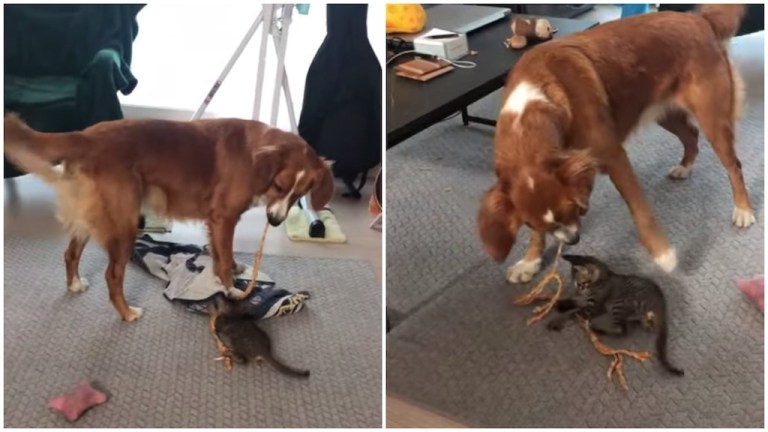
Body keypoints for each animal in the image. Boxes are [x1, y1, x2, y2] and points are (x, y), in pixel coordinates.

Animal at [3, 115, 332, 320]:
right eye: (279, 186)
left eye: (301, 192)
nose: (275, 221)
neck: (255, 152)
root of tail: (86, 136)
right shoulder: (224, 218)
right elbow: (224, 257)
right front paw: (230, 289)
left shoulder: (217, 222)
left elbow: (220, 254)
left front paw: (228, 271)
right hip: (125, 223)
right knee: (112, 275)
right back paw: (126, 313)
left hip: (90, 217)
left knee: (70, 253)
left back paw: (74, 285)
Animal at [476, 5, 752, 284]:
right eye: (535, 225)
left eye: (571, 209)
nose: (573, 240)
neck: (535, 104)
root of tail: (698, 18)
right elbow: (535, 230)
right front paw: (530, 261)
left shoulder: (615, 159)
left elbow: (641, 211)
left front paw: (663, 256)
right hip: (664, 113)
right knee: (691, 135)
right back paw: (685, 167)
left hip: (712, 119)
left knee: (734, 166)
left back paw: (743, 210)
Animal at [544, 255, 684, 376]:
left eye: (580, 284)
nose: (577, 291)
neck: (602, 279)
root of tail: (660, 301)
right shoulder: (585, 300)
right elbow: (575, 302)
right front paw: (561, 303)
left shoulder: (594, 307)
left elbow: (574, 312)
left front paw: (558, 320)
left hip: (622, 303)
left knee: (622, 329)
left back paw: (597, 329)